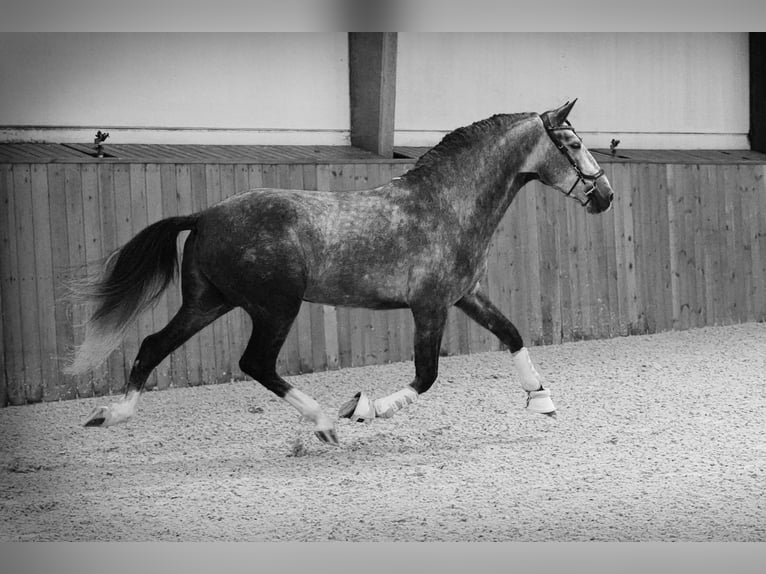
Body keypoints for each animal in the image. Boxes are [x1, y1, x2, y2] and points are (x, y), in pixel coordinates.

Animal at [67, 101, 616, 448]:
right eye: (572, 143)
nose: (605, 195)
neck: (446, 205)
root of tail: (204, 215)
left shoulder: (466, 296)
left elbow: (512, 333)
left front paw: (540, 399)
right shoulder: (430, 306)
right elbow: (426, 375)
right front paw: (364, 409)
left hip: (209, 301)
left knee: (153, 345)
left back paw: (110, 414)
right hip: (275, 306)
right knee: (254, 363)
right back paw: (325, 422)